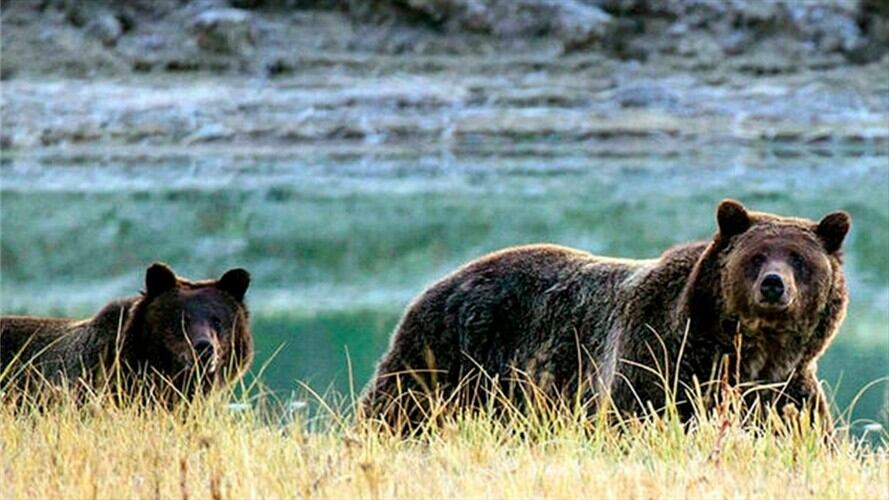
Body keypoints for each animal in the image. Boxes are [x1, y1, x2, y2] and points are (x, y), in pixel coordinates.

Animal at [360, 199, 850, 432]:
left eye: (799, 259)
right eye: (757, 256)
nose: (774, 285)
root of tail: (439, 281)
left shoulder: (784, 390)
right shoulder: (659, 361)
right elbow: (636, 418)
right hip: (448, 355)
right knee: (398, 409)